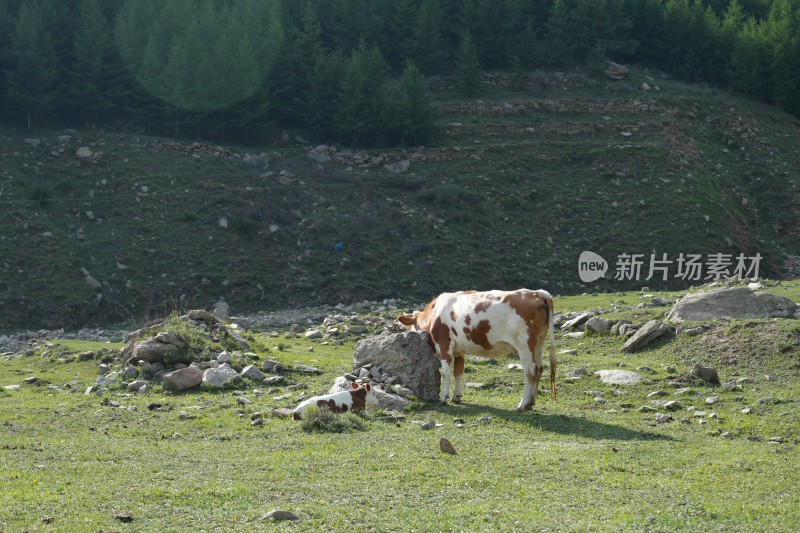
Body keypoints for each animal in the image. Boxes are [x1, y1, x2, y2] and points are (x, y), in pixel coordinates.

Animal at [396, 288, 556, 410]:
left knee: (530, 371)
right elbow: (458, 372)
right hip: (539, 343)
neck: (434, 315)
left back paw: (522, 405)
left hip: (524, 345)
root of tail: (537, 293)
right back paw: (531, 402)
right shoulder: (460, 350)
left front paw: (443, 398)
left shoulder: (445, 345)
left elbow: (447, 373)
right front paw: (456, 397)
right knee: (539, 368)